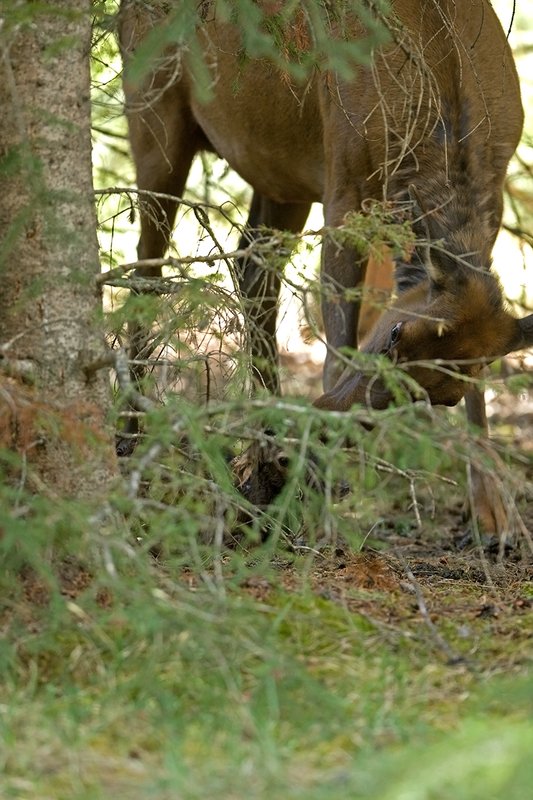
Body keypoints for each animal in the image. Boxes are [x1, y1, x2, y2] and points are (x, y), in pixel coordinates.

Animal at [118, 0, 532, 535]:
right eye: (395, 334)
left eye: (444, 396)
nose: (325, 420)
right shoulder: (344, 192)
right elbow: (338, 347)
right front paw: (323, 498)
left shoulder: (494, 207)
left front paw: (493, 515)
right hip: (154, 115)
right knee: (145, 275)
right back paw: (132, 443)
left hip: (279, 172)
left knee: (253, 274)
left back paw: (259, 455)